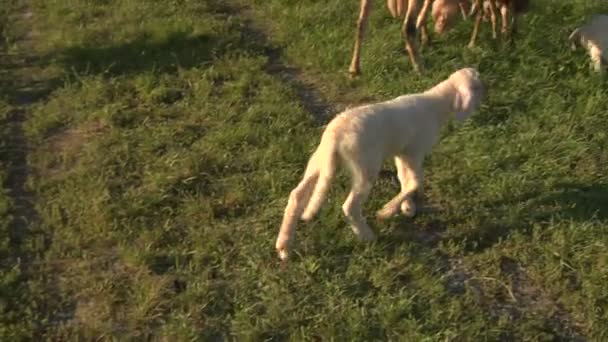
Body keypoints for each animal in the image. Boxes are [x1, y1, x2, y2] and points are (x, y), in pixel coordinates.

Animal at [274, 67, 484, 260]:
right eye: (478, 86)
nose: (488, 93)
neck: (437, 104)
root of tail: (336, 136)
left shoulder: (401, 153)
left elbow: (404, 179)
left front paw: (406, 207)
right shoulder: (414, 152)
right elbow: (415, 181)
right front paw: (387, 211)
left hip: (319, 160)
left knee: (296, 196)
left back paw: (284, 247)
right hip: (365, 166)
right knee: (350, 206)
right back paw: (367, 236)